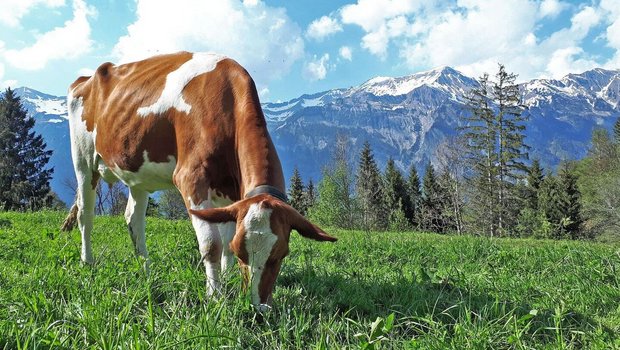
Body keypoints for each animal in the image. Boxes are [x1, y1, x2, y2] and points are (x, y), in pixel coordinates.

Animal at [60, 51, 336, 308]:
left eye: (281, 254)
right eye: (242, 252)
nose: (258, 306)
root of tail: (87, 78)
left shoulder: (229, 194)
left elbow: (224, 240)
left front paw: (226, 280)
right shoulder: (191, 179)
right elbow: (212, 244)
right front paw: (215, 296)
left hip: (137, 170)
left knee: (133, 219)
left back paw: (146, 271)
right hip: (83, 159)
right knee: (85, 214)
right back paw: (88, 262)